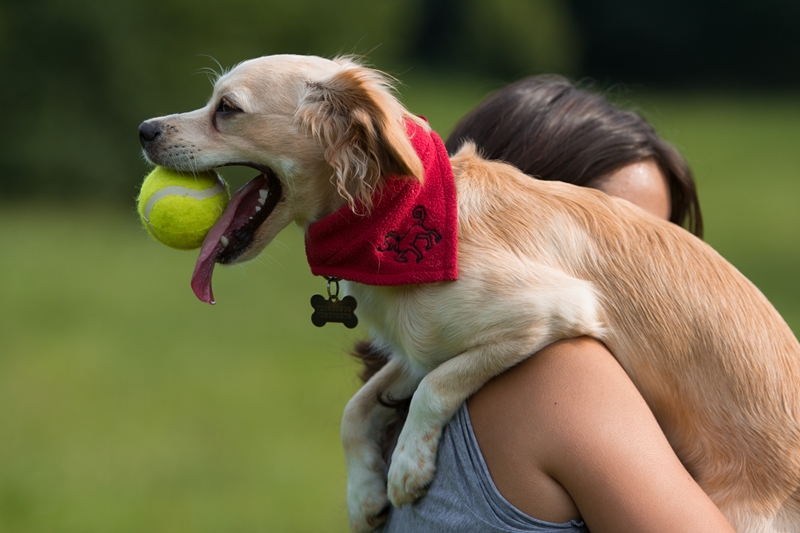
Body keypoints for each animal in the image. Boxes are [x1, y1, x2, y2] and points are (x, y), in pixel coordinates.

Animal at [141, 54, 800, 532]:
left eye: (227, 109)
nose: (145, 129)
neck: (396, 215)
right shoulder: (415, 346)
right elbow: (358, 406)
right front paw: (364, 494)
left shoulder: (548, 312)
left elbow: (438, 385)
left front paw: (406, 466)